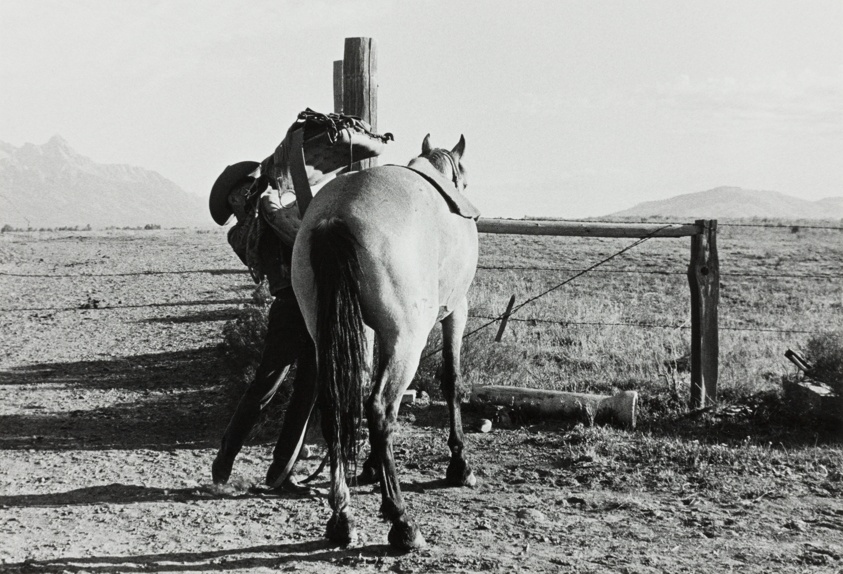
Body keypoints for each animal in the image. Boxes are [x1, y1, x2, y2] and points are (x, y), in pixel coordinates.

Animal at [291, 134, 478, 551]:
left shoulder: (373, 332)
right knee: (380, 410)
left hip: (329, 334)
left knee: (336, 406)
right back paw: (401, 520)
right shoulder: (456, 310)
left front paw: (371, 467)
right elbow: (452, 382)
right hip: (408, 340)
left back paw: (342, 517)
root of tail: (336, 216)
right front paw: (459, 466)